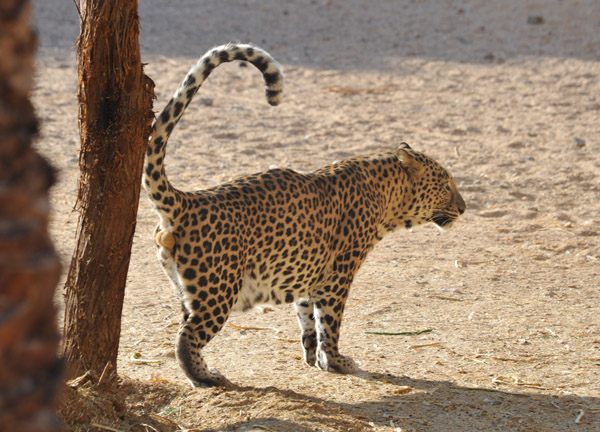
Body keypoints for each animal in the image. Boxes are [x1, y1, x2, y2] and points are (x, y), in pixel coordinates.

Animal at [143, 43, 466, 388]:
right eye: (446, 184)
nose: (464, 208)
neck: (386, 193)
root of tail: (187, 200)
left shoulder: (308, 276)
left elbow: (308, 319)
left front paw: (313, 357)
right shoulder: (337, 276)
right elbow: (331, 323)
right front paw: (336, 361)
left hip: (188, 289)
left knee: (183, 325)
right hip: (218, 288)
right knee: (186, 336)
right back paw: (206, 377)